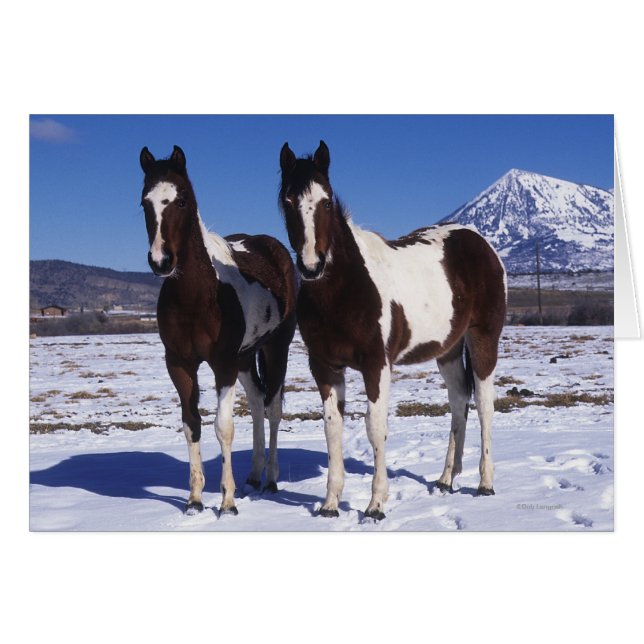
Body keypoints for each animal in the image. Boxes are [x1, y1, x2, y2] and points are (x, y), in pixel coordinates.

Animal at [140, 145, 297, 516]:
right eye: (144, 202)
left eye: (182, 200)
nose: (161, 261)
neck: (198, 296)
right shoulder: (180, 365)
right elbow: (192, 424)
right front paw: (195, 499)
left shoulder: (223, 364)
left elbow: (223, 427)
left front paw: (227, 502)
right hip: (246, 358)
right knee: (256, 401)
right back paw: (253, 475)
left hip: (275, 349)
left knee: (273, 409)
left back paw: (270, 479)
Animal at [279, 141, 507, 520]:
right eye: (287, 200)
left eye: (326, 201)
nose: (312, 266)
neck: (345, 288)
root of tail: (480, 242)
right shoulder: (325, 367)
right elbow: (332, 428)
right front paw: (329, 504)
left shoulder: (377, 365)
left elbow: (376, 428)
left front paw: (375, 505)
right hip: (447, 350)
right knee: (459, 401)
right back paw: (446, 479)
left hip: (483, 338)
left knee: (486, 406)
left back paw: (485, 483)